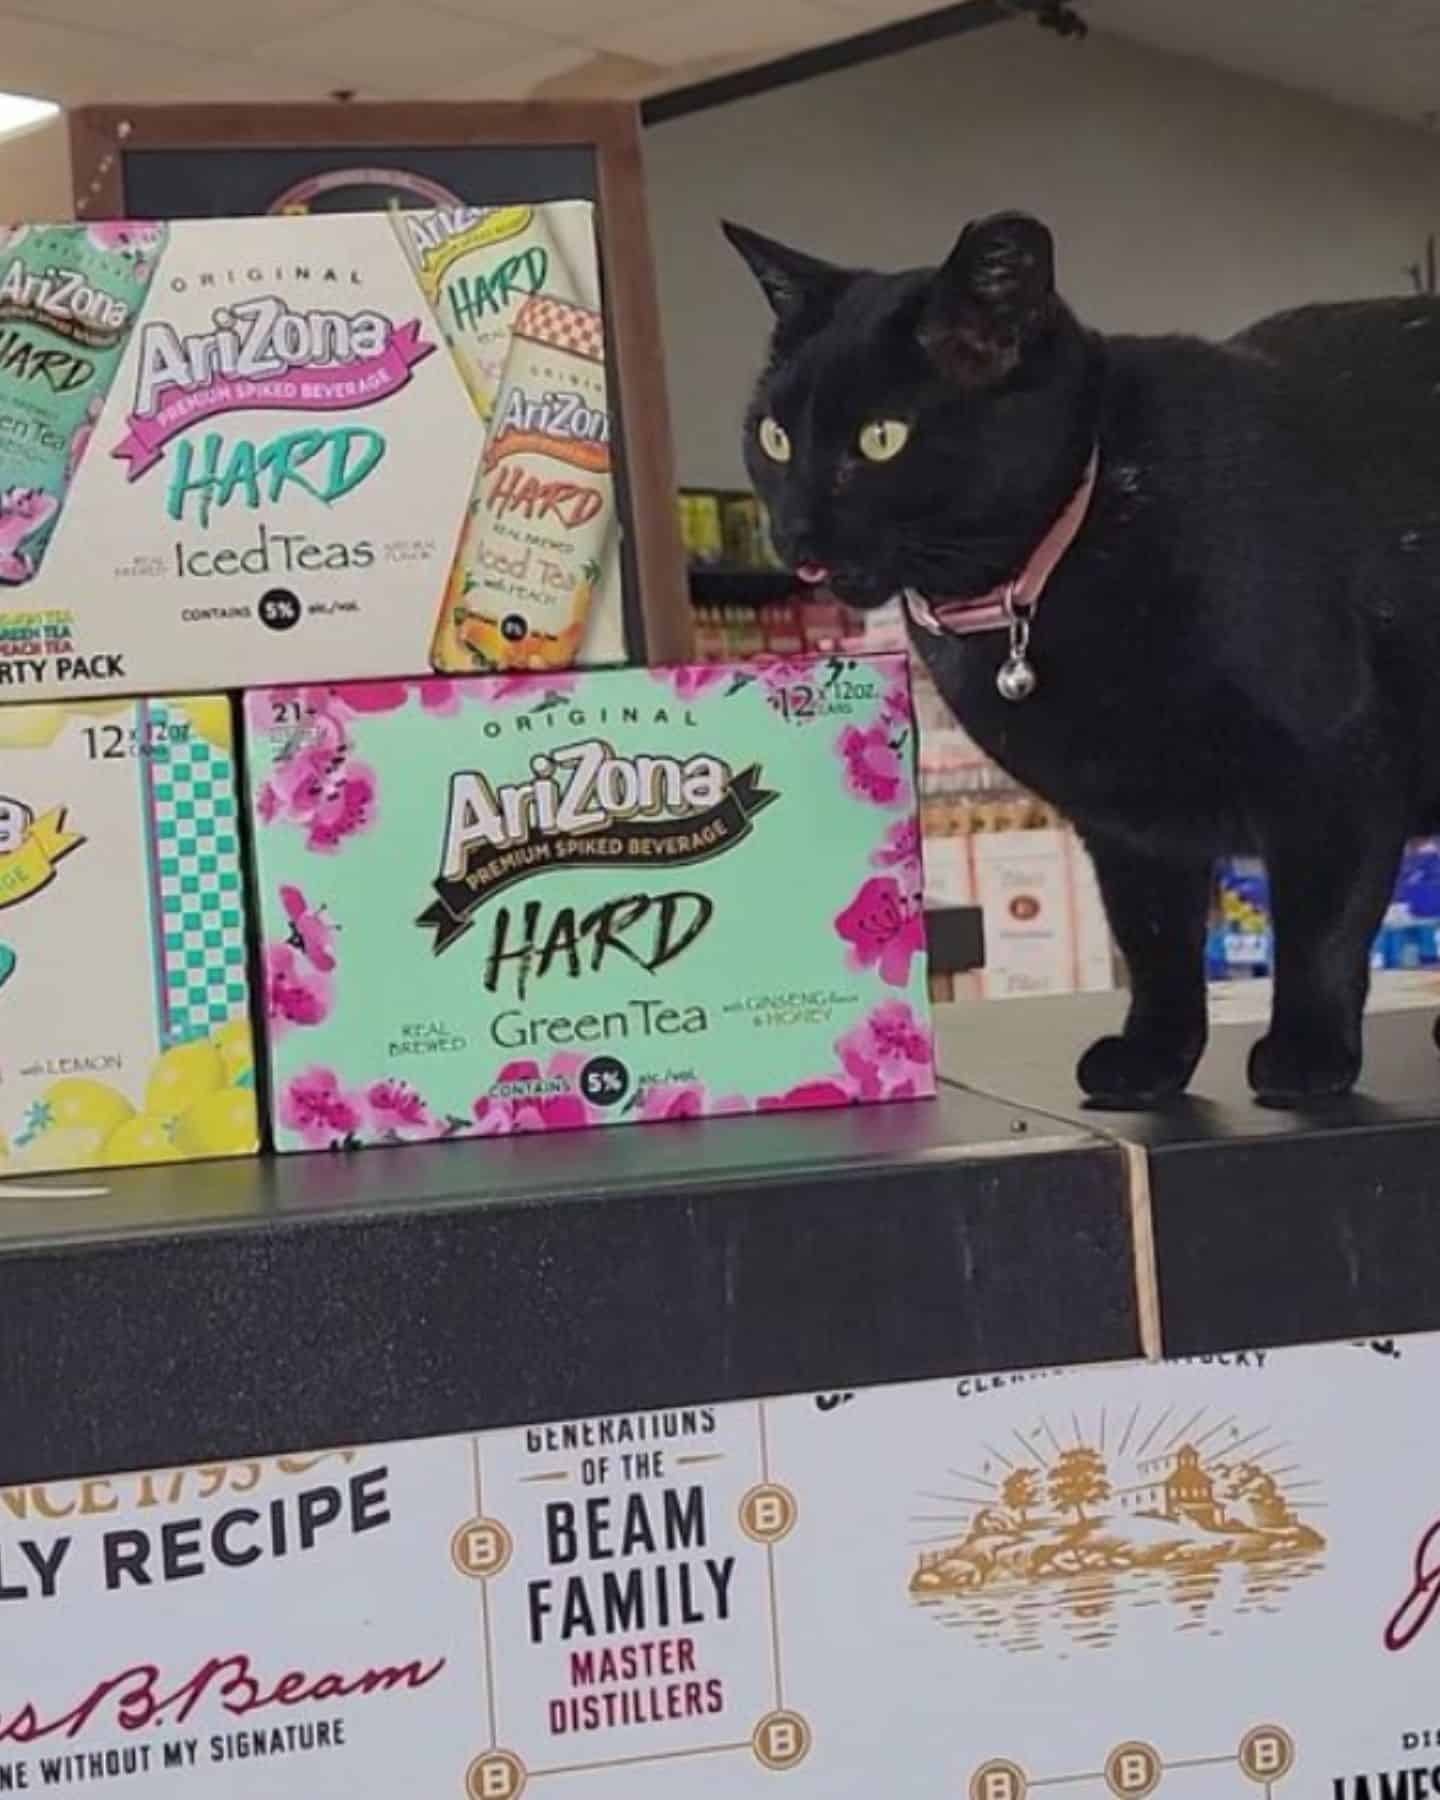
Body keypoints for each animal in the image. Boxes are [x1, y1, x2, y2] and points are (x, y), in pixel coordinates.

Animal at [727, 214, 1440, 1108]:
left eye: (882, 439)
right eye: (774, 437)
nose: (793, 531)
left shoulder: (1339, 765)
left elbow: (1322, 926)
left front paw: (1306, 1056)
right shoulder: (1126, 819)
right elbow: (1154, 942)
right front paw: (1153, 1059)